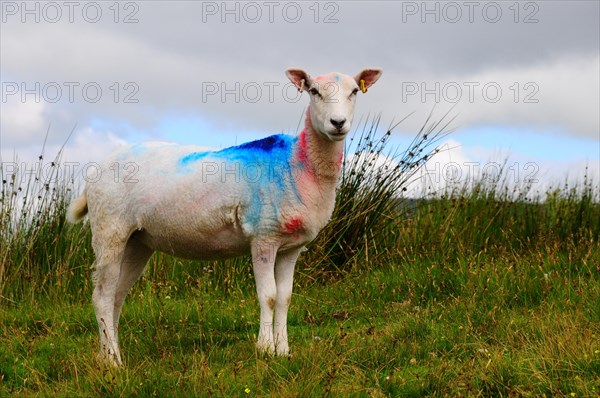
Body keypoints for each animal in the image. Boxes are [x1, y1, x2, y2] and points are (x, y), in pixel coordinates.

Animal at [67, 67, 384, 364]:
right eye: (314, 91)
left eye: (355, 91)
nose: (338, 123)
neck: (295, 162)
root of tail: (98, 168)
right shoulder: (264, 237)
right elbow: (268, 296)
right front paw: (264, 349)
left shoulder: (291, 247)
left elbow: (285, 298)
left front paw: (283, 351)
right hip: (110, 229)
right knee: (102, 296)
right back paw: (114, 363)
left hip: (138, 241)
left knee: (117, 296)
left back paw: (108, 355)